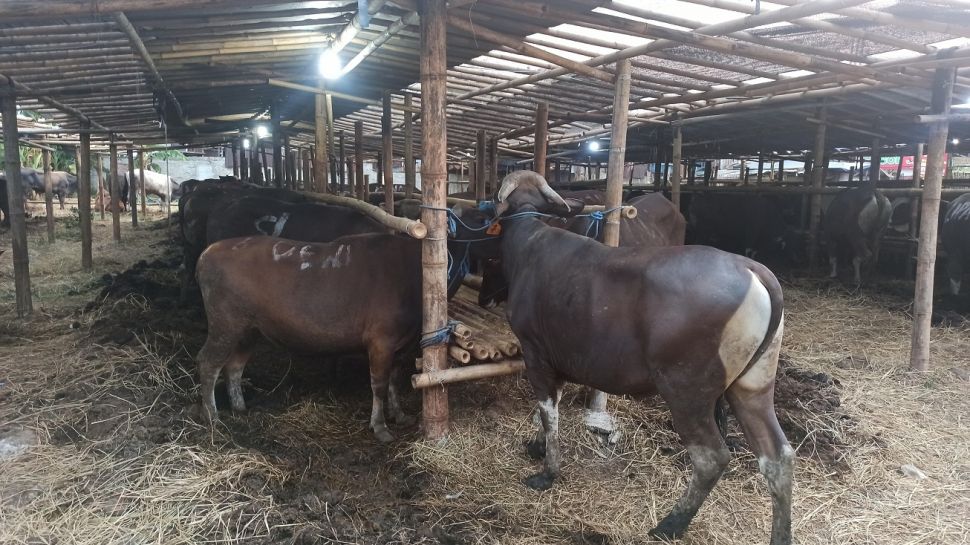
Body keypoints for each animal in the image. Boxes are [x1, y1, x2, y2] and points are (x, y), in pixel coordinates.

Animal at [450, 171, 792, 544]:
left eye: (489, 256)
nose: (484, 298)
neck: (529, 240)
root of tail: (751, 268)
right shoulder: (560, 358)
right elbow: (551, 408)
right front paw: (538, 447)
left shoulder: (535, 353)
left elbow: (548, 411)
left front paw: (547, 472)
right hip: (751, 388)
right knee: (777, 457)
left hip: (687, 392)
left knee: (711, 457)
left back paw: (671, 524)